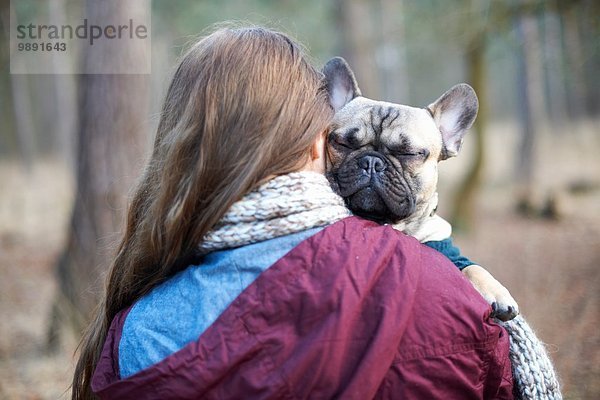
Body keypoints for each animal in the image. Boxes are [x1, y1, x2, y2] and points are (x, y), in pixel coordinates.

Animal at [322, 56, 516, 320]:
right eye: (342, 143)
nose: (372, 162)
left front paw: (497, 292)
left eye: (410, 153)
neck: (392, 223)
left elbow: (473, 267)